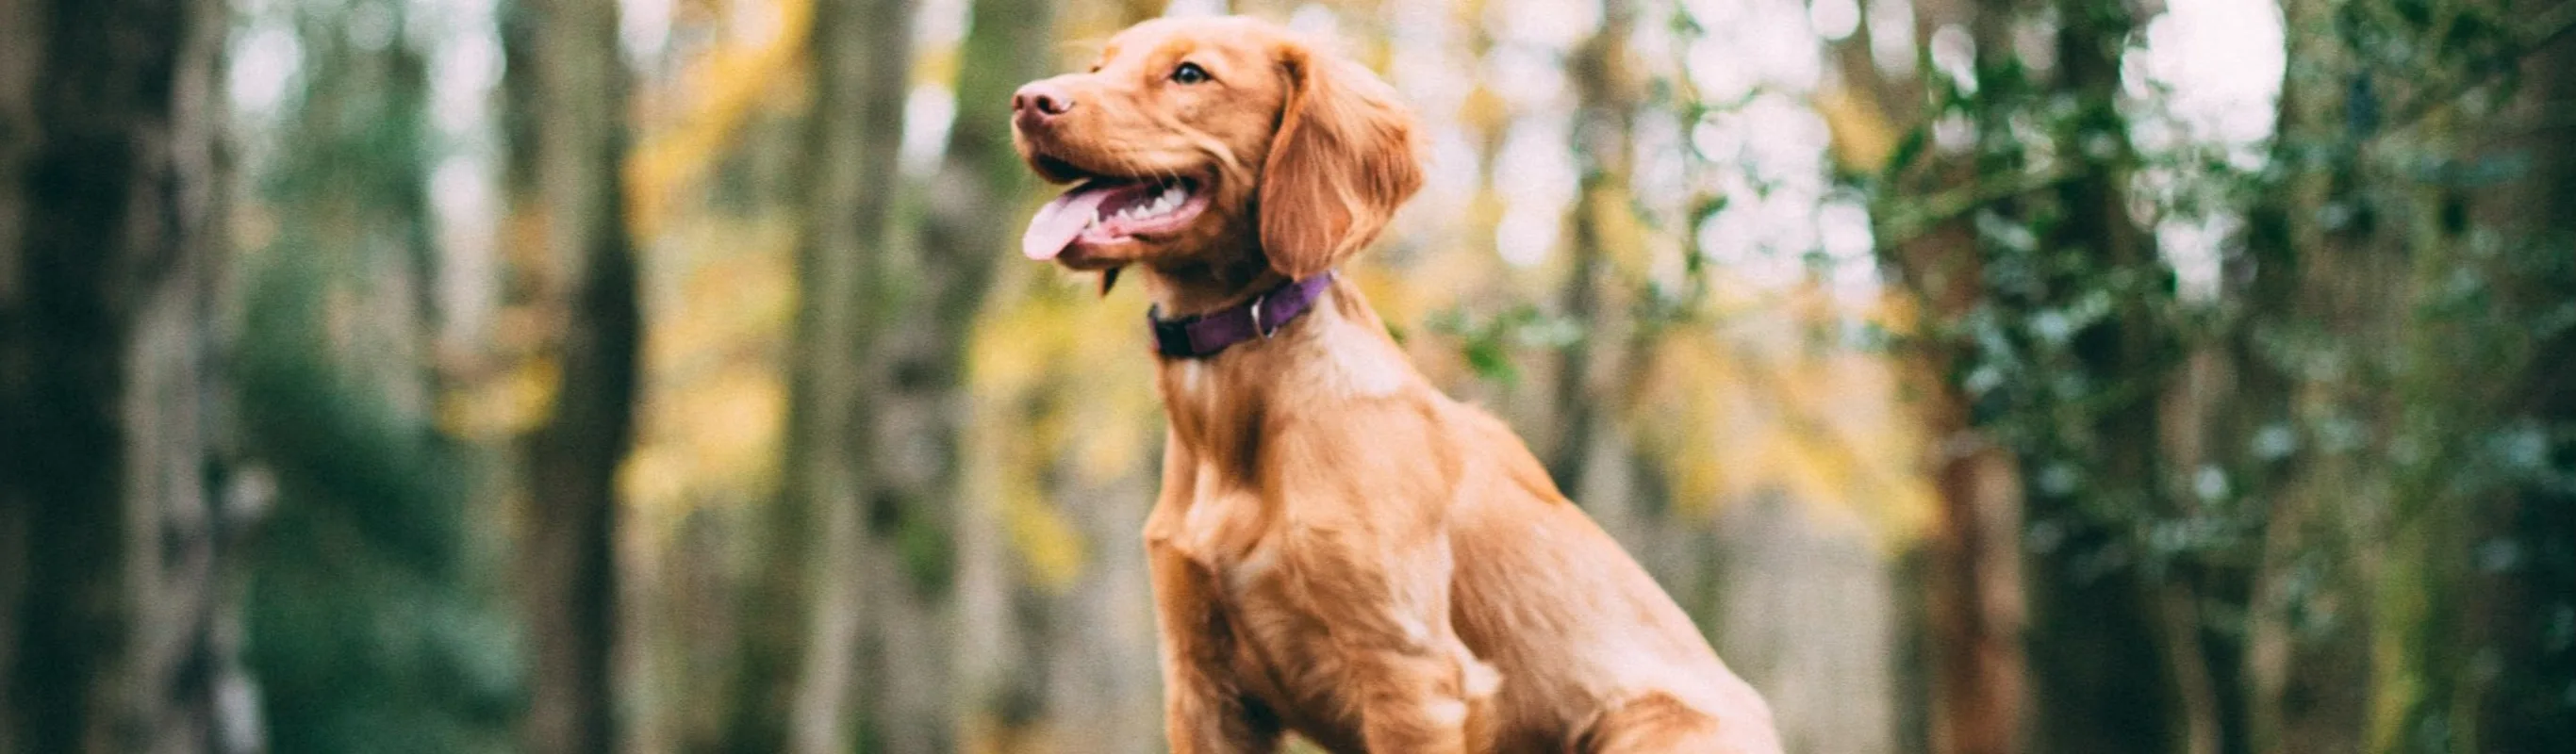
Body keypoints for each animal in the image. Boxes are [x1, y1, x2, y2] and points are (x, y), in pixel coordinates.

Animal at [1015, 14, 1782, 746]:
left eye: (1189, 74)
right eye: (1098, 67)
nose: (1028, 101)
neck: (1232, 418)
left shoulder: (1410, 671)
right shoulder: (1200, 683)